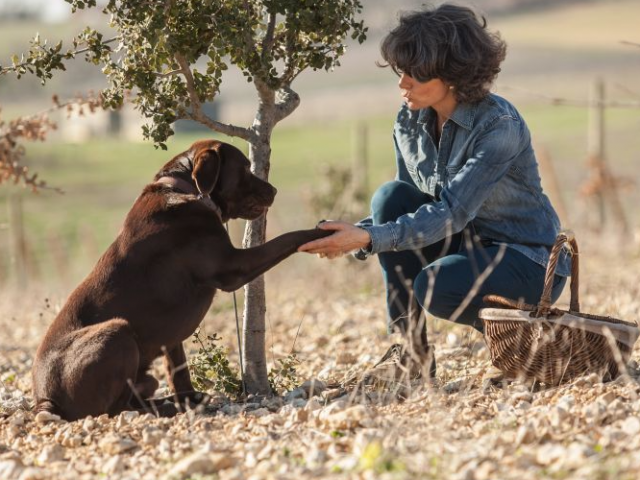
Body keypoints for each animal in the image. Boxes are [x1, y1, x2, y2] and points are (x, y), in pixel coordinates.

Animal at [31, 139, 330, 420]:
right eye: (245, 167)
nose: (274, 190)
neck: (188, 191)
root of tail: (45, 402)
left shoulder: (171, 339)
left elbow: (179, 370)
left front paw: (189, 399)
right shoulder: (233, 266)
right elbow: (288, 238)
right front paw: (323, 233)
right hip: (116, 331)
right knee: (116, 408)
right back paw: (161, 408)